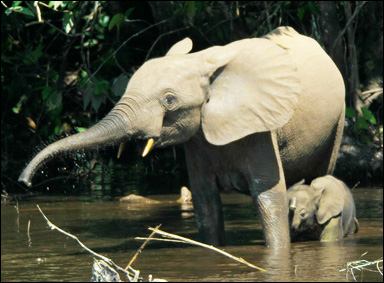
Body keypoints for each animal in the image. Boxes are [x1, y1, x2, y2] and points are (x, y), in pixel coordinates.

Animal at [19, 26, 346, 248]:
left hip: (338, 120)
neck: (202, 62)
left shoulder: (261, 127)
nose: (24, 182)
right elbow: (205, 203)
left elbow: (269, 197)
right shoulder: (197, 139)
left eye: (170, 100)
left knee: (319, 176)